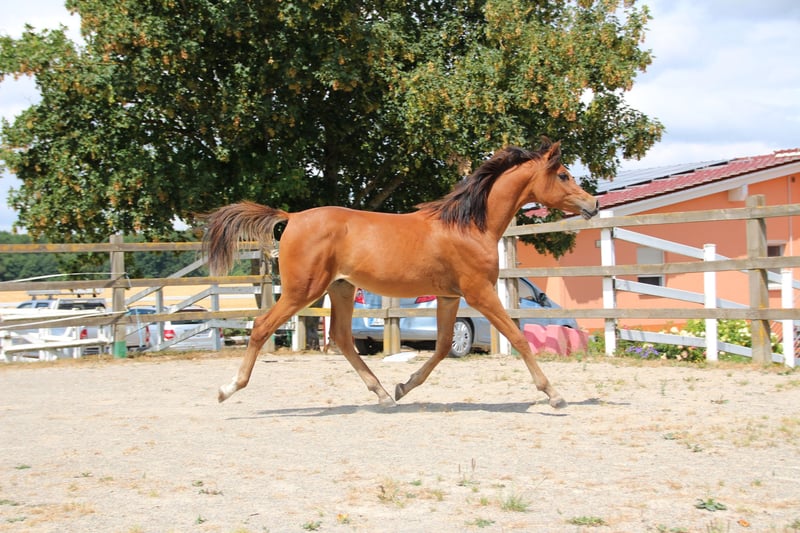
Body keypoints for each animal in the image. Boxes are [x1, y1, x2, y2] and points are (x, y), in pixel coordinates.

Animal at [203, 139, 599, 408]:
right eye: (563, 175)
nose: (593, 204)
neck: (470, 226)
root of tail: (293, 217)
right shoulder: (480, 292)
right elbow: (517, 338)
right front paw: (554, 394)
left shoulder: (450, 296)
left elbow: (442, 347)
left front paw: (403, 387)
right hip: (303, 290)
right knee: (261, 327)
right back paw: (226, 389)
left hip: (341, 289)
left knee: (343, 339)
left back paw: (381, 393)